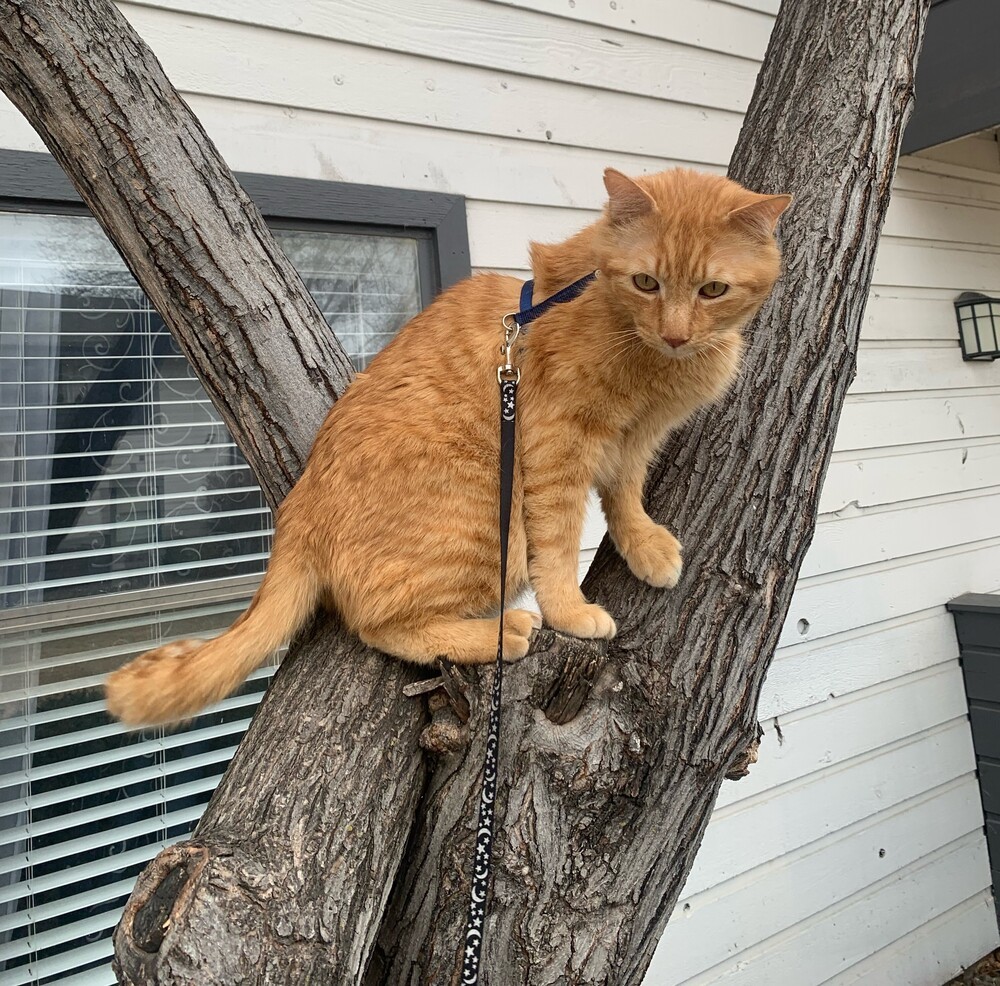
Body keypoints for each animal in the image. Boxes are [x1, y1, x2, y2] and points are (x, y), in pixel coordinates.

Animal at [103, 167, 788, 724]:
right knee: (377, 625)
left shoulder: (635, 439)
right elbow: (561, 540)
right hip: (494, 527)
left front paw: (644, 543)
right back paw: (503, 632)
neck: (649, 362)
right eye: (647, 282)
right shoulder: (558, 446)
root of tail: (299, 507)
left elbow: (624, 496)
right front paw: (571, 611)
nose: (675, 333)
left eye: (712, 291)